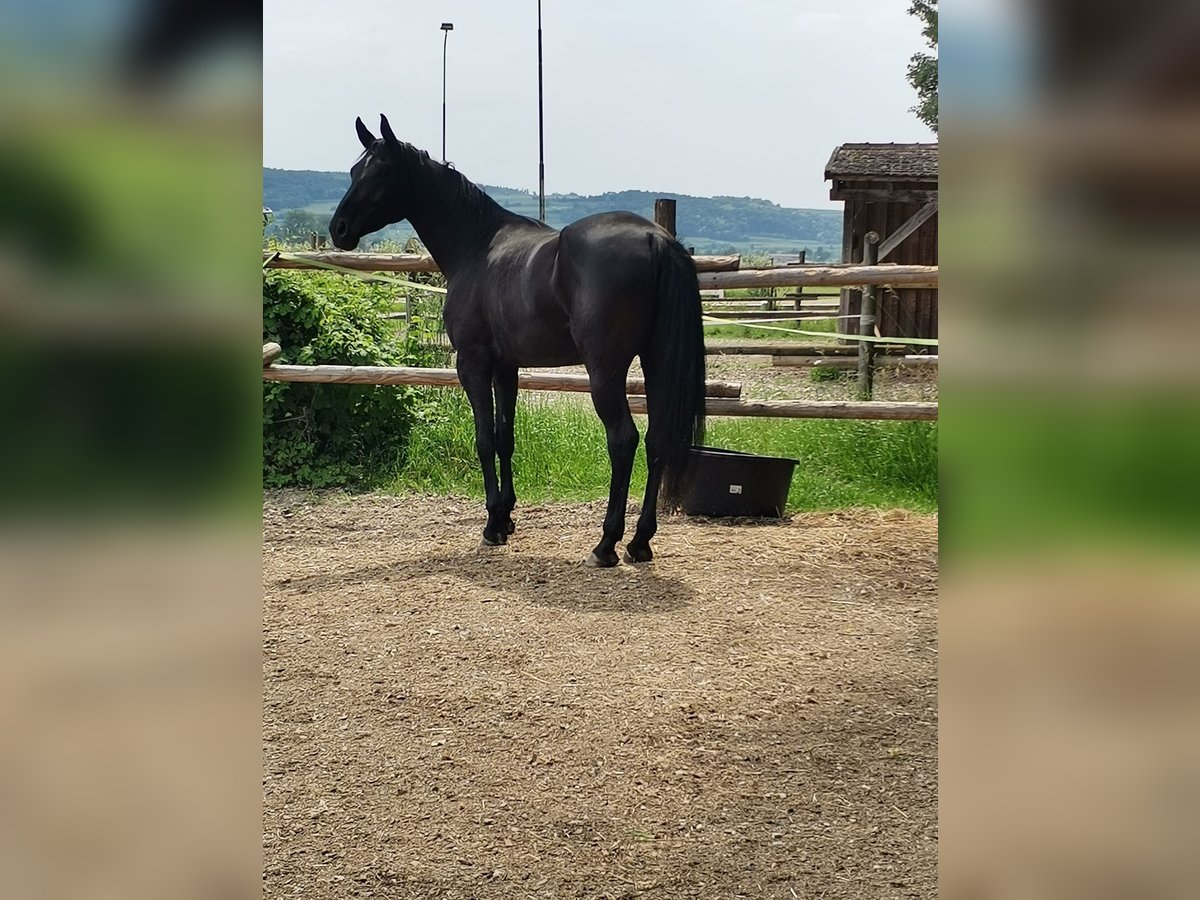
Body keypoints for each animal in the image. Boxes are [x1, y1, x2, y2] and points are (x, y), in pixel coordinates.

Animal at [328, 114, 700, 571]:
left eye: (382, 171)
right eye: (353, 171)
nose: (339, 229)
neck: (476, 246)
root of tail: (655, 239)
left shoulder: (472, 364)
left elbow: (485, 439)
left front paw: (491, 525)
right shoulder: (507, 367)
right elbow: (506, 437)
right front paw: (506, 517)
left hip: (605, 371)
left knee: (624, 439)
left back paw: (606, 543)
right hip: (655, 361)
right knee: (657, 439)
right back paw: (640, 542)